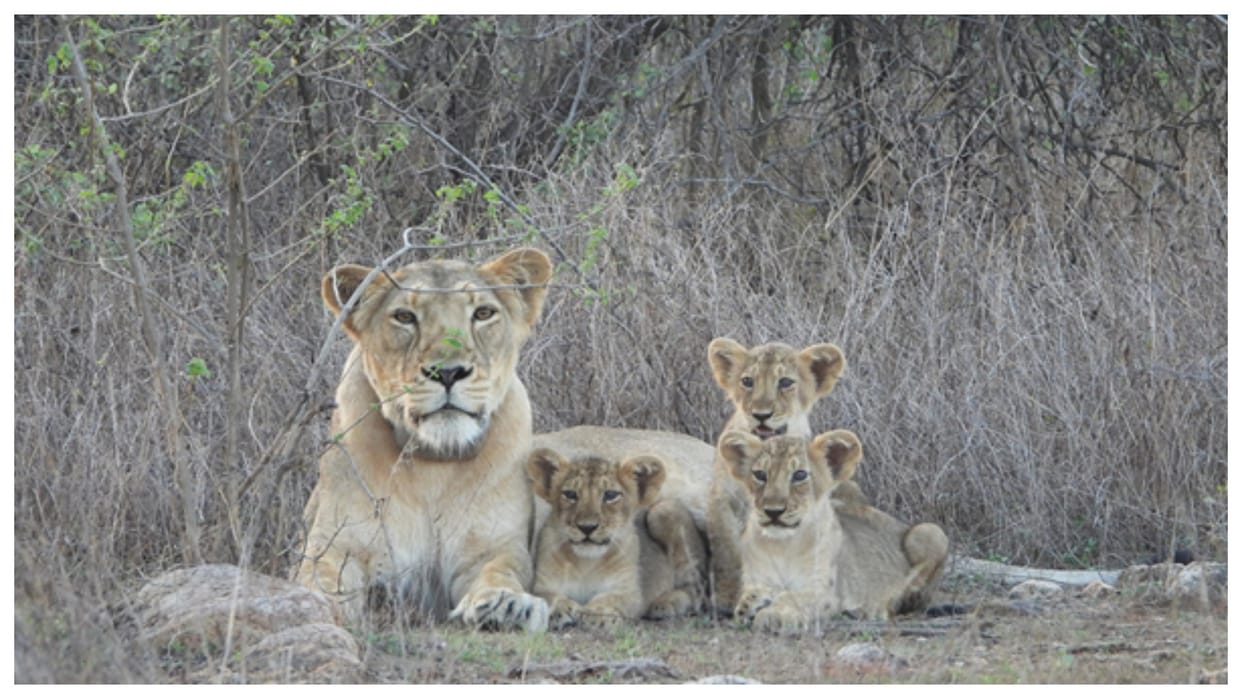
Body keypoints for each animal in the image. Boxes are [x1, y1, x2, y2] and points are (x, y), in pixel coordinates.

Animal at [294, 247, 553, 632]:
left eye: (483, 313)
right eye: (404, 316)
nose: (448, 372)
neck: (435, 463)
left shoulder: (493, 547)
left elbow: (500, 571)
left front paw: (506, 605)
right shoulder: (338, 545)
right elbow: (319, 578)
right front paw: (313, 605)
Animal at [525, 448, 698, 629]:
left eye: (610, 495)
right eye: (570, 494)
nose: (587, 527)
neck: (585, 563)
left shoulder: (629, 592)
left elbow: (611, 599)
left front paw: (597, 613)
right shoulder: (542, 585)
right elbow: (546, 596)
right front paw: (559, 609)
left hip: (662, 510)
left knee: (696, 589)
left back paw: (666, 603)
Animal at [704, 338, 847, 613]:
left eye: (785, 382)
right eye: (748, 381)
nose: (761, 415)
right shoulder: (722, 500)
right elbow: (728, 550)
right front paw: (730, 596)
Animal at [718, 430, 949, 634]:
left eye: (799, 475)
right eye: (760, 475)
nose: (773, 511)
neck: (782, 545)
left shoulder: (825, 591)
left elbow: (793, 597)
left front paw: (774, 614)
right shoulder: (756, 578)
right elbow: (752, 593)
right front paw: (751, 604)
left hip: (930, 531)